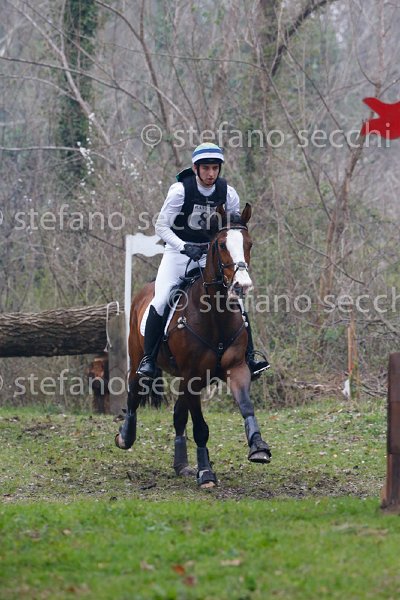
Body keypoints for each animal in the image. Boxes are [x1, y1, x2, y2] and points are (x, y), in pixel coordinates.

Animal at [115, 203, 271, 488]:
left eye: (249, 244)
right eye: (221, 244)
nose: (241, 285)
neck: (214, 315)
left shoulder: (236, 369)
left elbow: (246, 406)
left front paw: (258, 447)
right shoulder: (192, 377)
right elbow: (200, 427)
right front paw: (206, 472)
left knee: (178, 415)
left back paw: (181, 465)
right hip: (140, 362)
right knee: (134, 395)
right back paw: (125, 436)